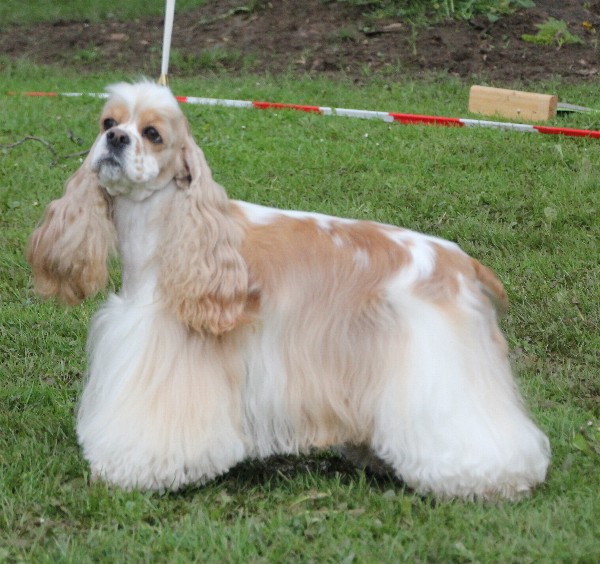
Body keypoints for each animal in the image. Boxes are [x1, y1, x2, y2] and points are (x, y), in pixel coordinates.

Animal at [29, 81, 552, 500]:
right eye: (109, 121)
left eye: (153, 134)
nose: (116, 139)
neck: (170, 227)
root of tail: (460, 261)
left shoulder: (174, 350)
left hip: (438, 368)